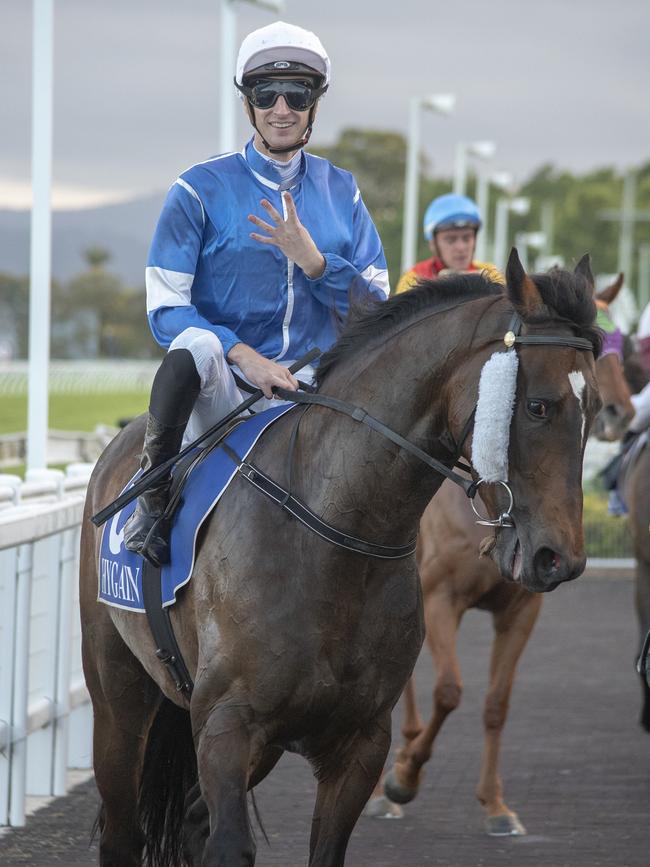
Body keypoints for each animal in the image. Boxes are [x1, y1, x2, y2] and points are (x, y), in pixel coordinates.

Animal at [82, 248, 604, 864]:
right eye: (539, 406)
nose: (558, 557)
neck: (338, 536)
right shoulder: (228, 726)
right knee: (123, 829)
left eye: (596, 407)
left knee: (189, 820)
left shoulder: (358, 742)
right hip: (118, 702)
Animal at [370, 272, 632, 836]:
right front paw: (403, 777)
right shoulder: (439, 598)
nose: (619, 414)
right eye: (536, 406)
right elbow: (449, 690)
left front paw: (495, 805)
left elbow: (496, 703)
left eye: (620, 353)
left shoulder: (522, 607)